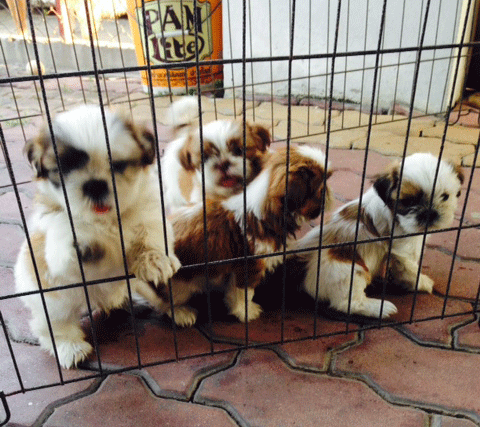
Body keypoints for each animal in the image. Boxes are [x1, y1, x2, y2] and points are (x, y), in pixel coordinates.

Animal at [14, 105, 181, 368]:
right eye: (63, 170)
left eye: (118, 165)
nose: (95, 185)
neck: (106, 219)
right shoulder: (54, 224)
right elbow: (63, 243)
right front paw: (83, 246)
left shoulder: (149, 211)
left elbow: (152, 235)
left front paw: (155, 260)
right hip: (53, 301)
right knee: (52, 326)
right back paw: (69, 347)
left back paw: (178, 311)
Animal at [152, 145, 333, 327]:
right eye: (320, 189)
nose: (328, 196)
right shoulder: (249, 266)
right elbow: (244, 292)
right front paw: (246, 311)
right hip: (180, 286)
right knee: (164, 302)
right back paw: (181, 313)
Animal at [296, 152, 464, 318]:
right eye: (408, 202)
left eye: (445, 196)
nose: (430, 213)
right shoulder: (404, 248)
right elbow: (411, 268)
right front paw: (422, 282)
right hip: (347, 271)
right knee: (348, 303)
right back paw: (380, 308)